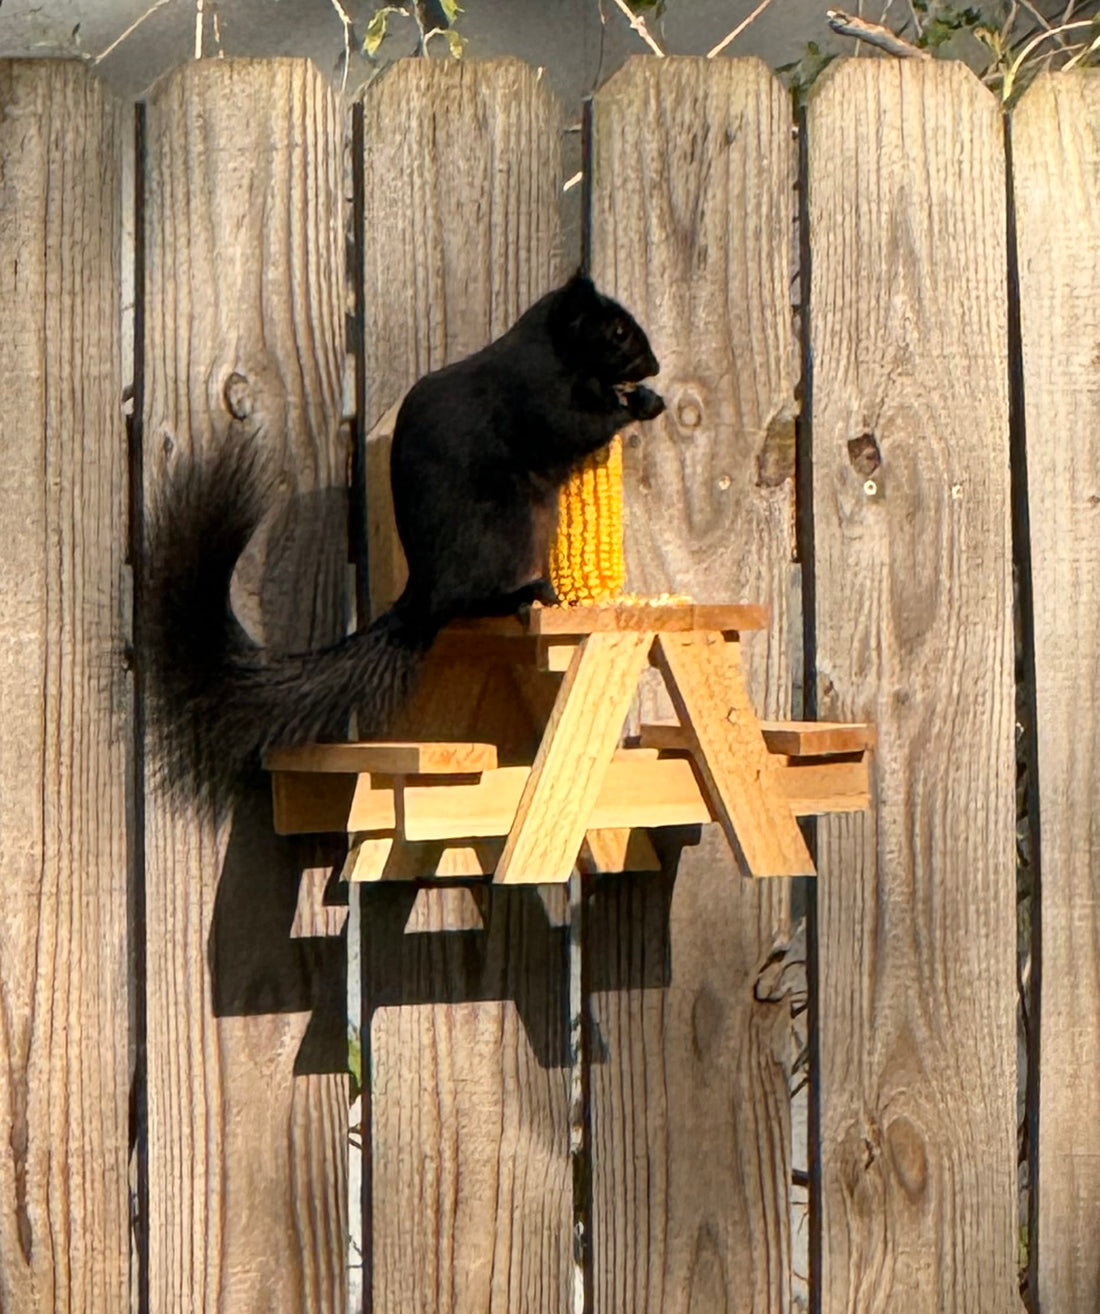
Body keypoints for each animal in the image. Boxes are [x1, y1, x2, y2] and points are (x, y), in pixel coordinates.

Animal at [141, 270, 666, 812]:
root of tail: (421, 599)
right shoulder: (536, 398)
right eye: (617, 332)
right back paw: (529, 593)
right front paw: (640, 403)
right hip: (504, 529)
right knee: (475, 599)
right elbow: (580, 426)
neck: (554, 352)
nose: (655, 366)